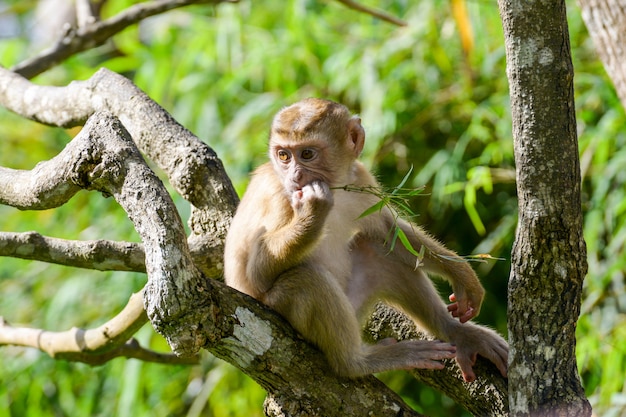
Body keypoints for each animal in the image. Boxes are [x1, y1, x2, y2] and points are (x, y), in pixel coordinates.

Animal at [224, 97, 508, 380]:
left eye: (306, 154)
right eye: (283, 155)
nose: (295, 176)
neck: (336, 188)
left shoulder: (360, 178)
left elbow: (387, 230)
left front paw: (462, 275)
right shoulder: (280, 197)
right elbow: (257, 275)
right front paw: (313, 210)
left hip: (355, 306)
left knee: (377, 252)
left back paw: (457, 333)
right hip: (280, 308)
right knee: (307, 280)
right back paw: (357, 362)